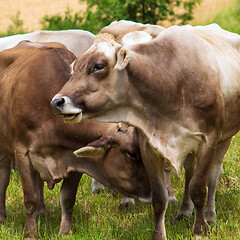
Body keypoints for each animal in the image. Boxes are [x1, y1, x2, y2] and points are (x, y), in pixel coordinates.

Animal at [0, 41, 150, 238]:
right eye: (132, 153)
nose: (152, 190)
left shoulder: (75, 159)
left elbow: (67, 199)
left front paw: (64, 232)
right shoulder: (22, 153)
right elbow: (30, 198)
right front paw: (30, 234)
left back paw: (42, 213)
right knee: (3, 178)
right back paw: (2, 216)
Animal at [51, 23, 240, 240]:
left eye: (98, 66)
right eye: (74, 68)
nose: (56, 102)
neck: (171, 82)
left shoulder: (208, 140)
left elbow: (199, 188)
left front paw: (199, 231)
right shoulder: (149, 146)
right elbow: (159, 197)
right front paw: (159, 234)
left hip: (224, 138)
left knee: (213, 175)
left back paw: (209, 215)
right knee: (190, 171)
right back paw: (184, 210)